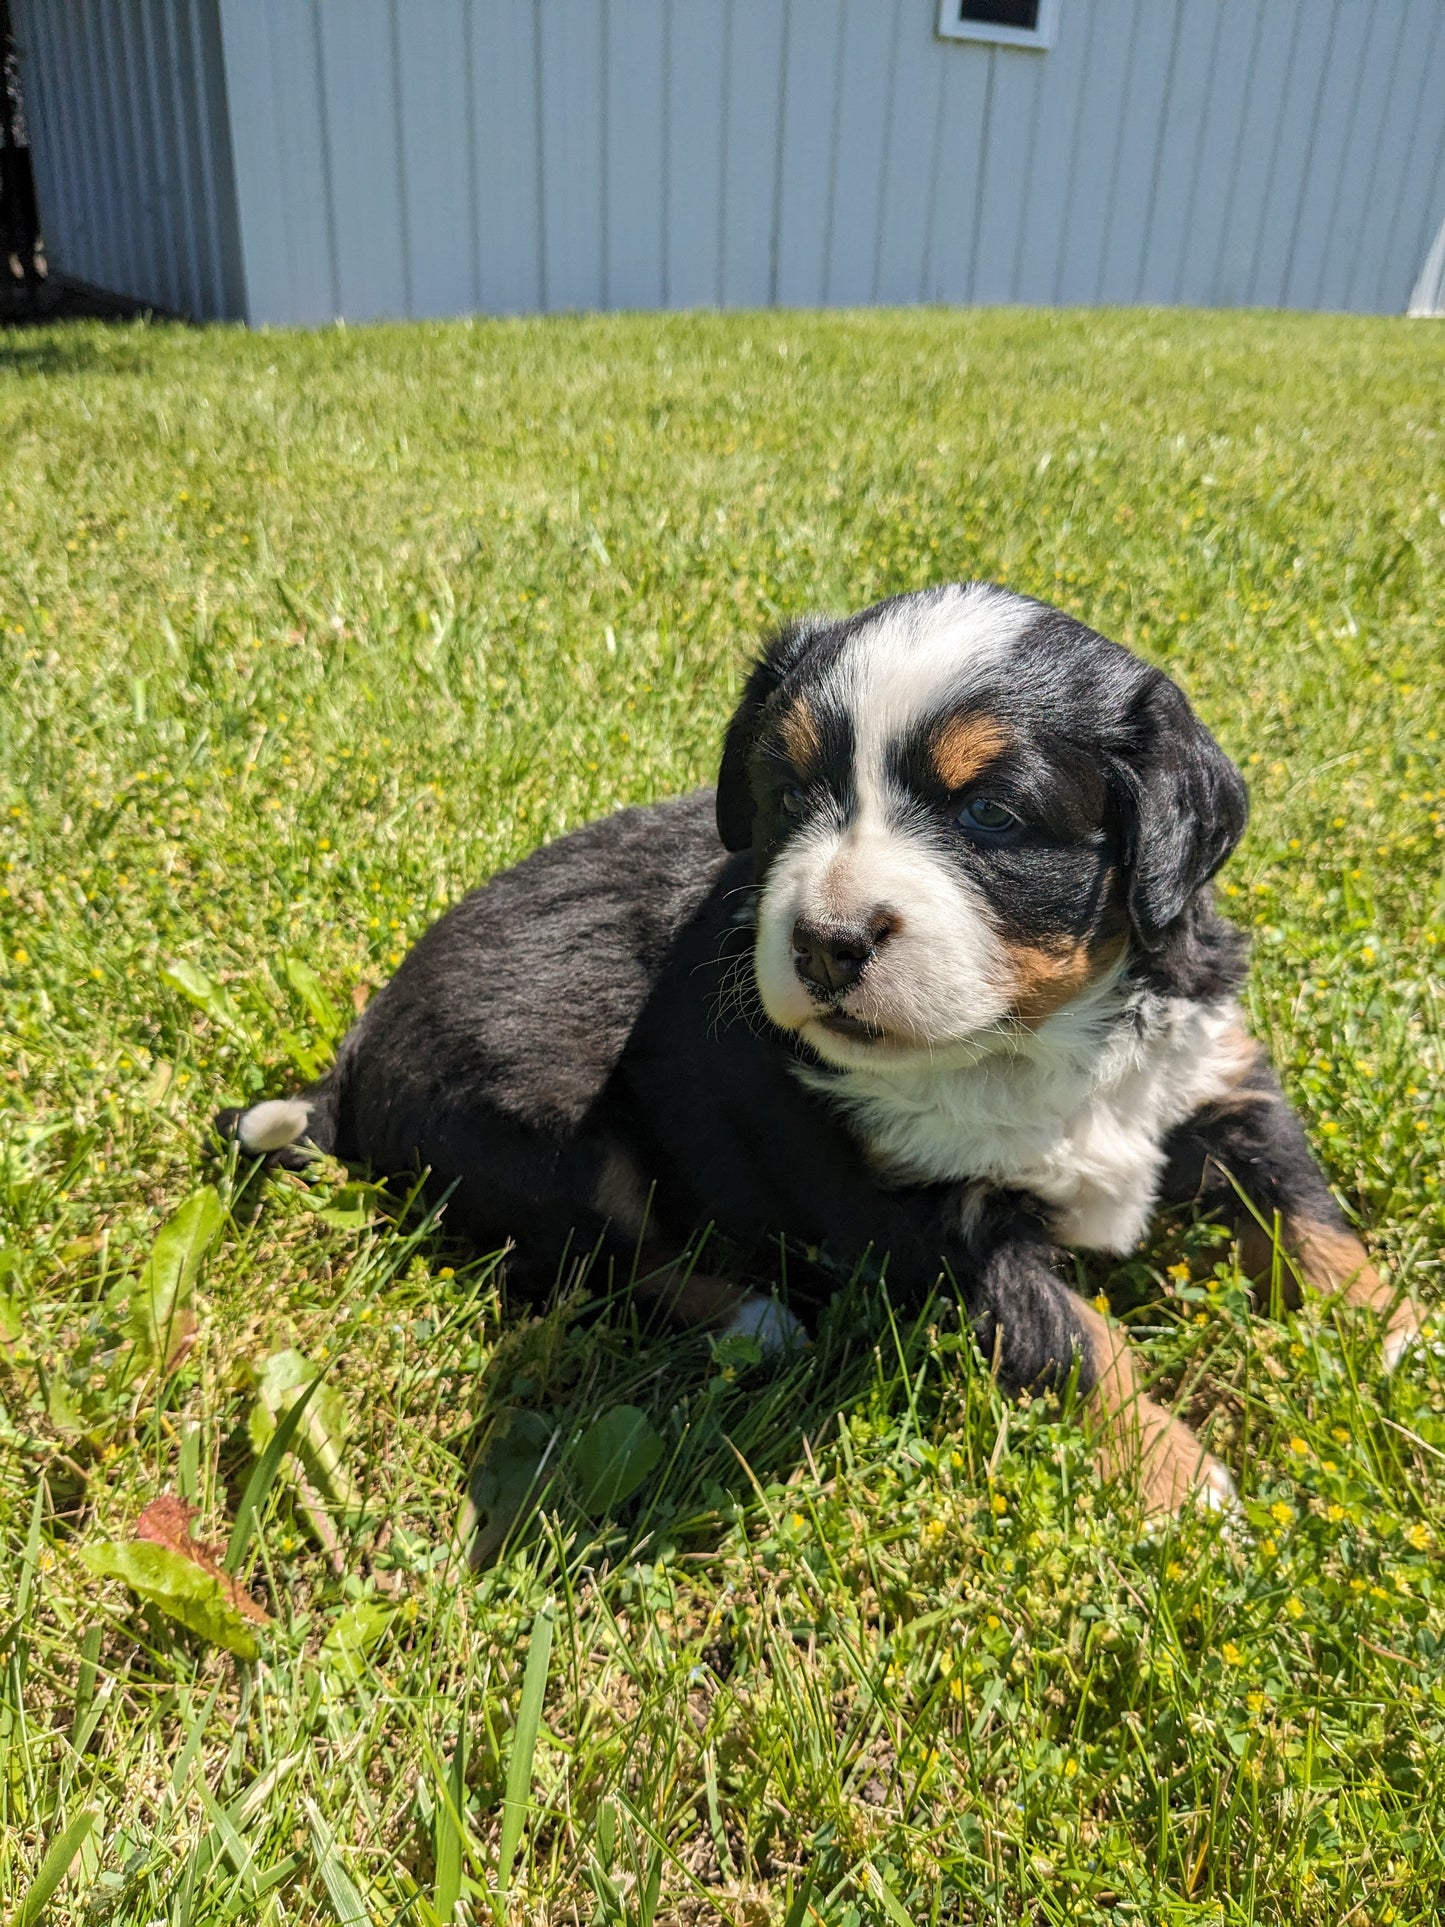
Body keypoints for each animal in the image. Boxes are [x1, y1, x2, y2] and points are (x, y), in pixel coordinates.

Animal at [220, 578, 1418, 1510]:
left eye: (989, 814)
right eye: (790, 789)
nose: (827, 941)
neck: (1032, 1043)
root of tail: (357, 1054)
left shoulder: (1215, 1072)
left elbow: (1309, 1214)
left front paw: (1396, 1335)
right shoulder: (925, 1218)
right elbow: (1078, 1336)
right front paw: (1181, 1482)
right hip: (544, 1128)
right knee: (590, 1262)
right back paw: (758, 1320)